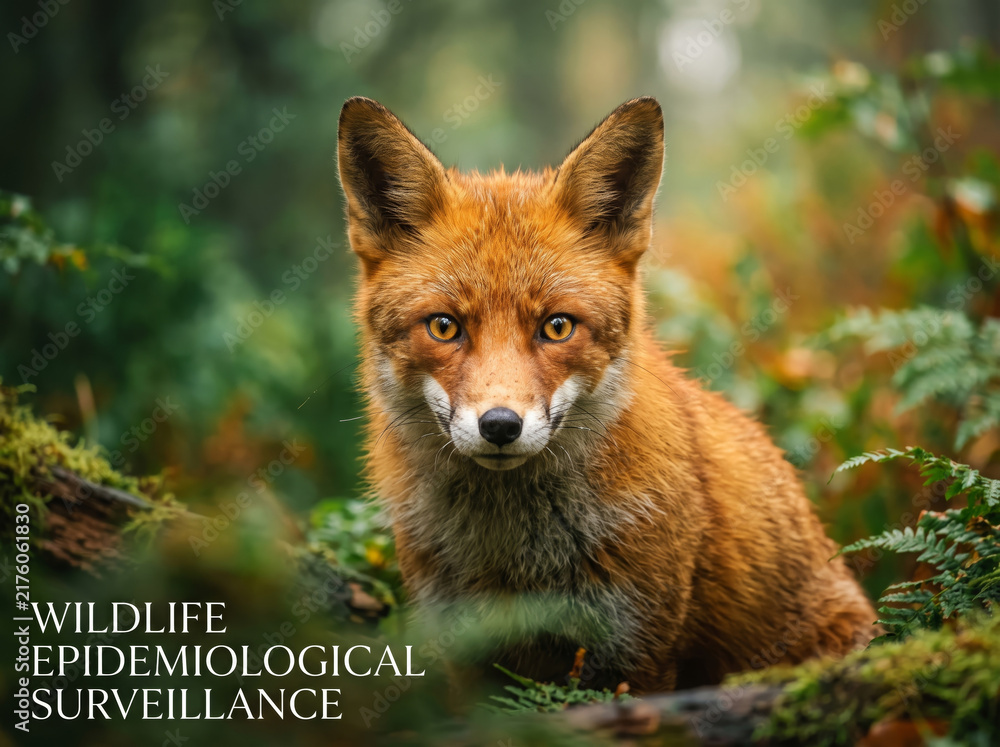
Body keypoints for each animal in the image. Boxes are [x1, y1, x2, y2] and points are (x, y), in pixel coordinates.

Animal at [336, 95, 877, 693]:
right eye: (444, 327)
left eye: (556, 327)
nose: (500, 425)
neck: (512, 557)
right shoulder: (461, 647)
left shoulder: (637, 646)